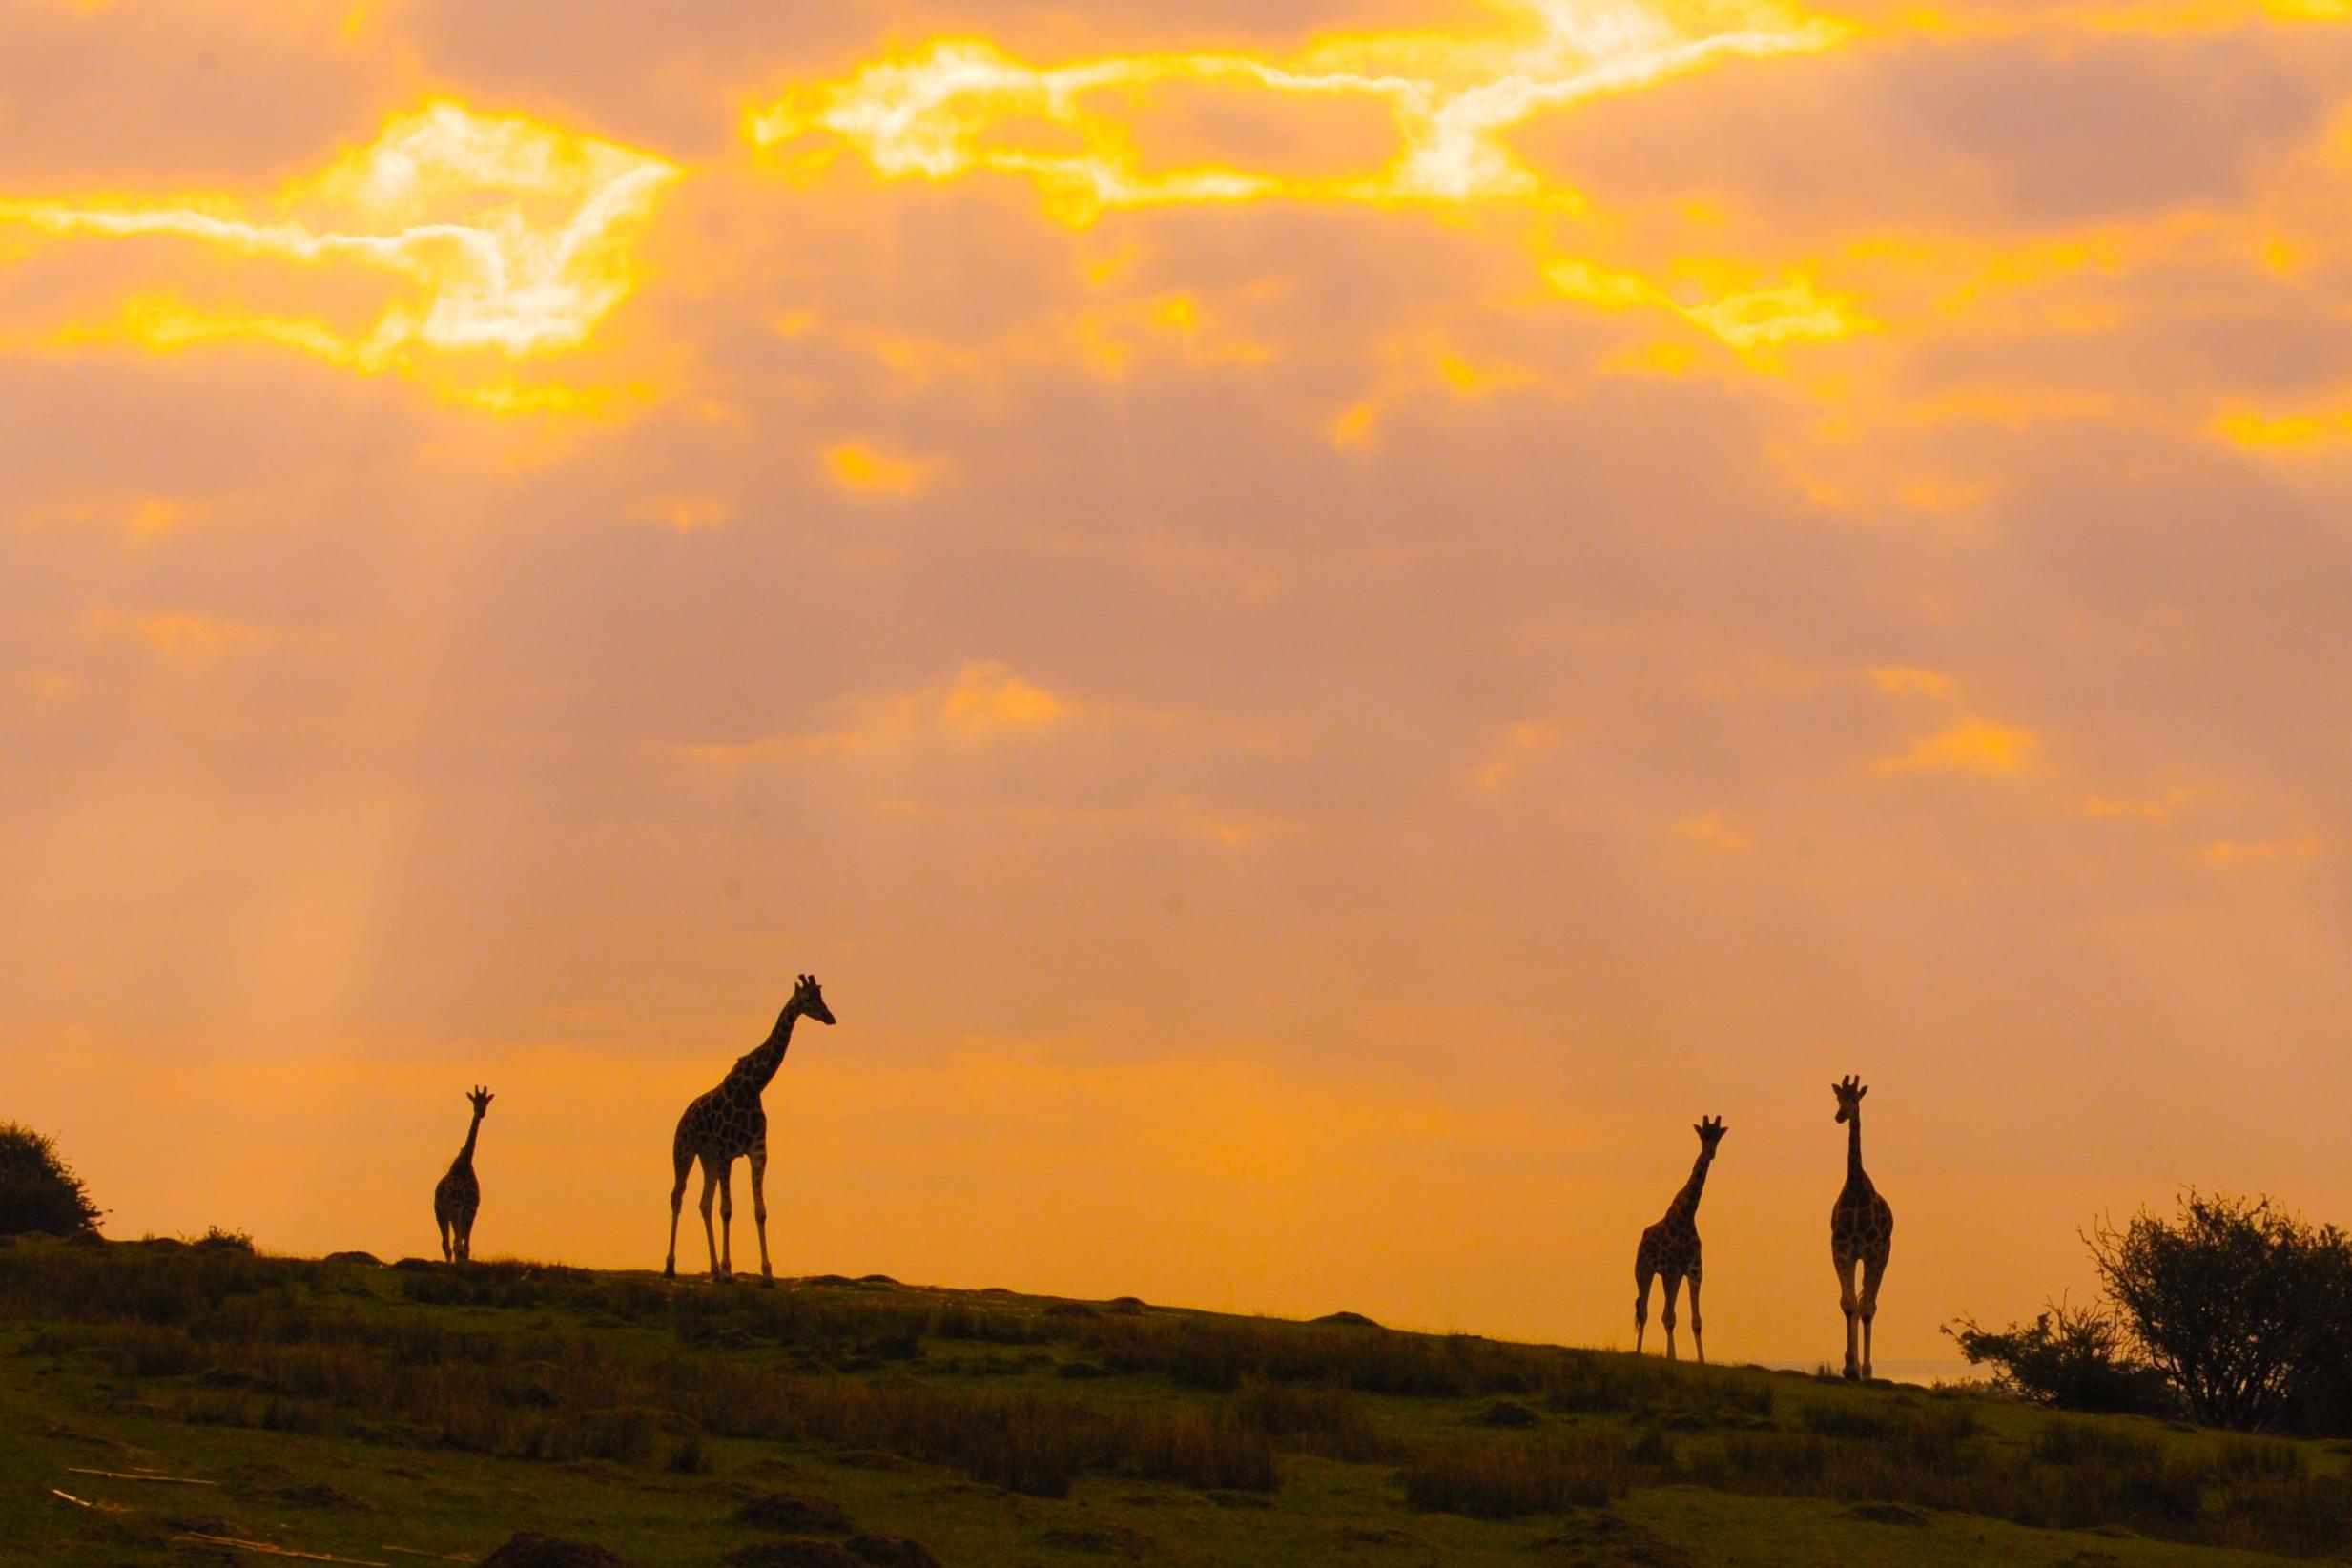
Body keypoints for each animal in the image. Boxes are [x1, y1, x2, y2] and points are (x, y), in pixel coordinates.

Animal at [440, 1090, 498, 1260]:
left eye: (486, 1102)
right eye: (474, 1101)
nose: (481, 1113)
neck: (465, 1163)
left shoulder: (471, 1209)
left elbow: (465, 1249)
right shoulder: (456, 1207)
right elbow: (458, 1245)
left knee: (453, 1243)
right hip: (441, 1212)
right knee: (447, 1244)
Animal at [663, 982, 836, 1288]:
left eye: (821, 997)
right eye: (807, 999)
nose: (830, 1017)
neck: (754, 1086)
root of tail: (684, 1116)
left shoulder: (757, 1152)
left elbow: (760, 1211)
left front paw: (766, 1273)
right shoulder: (726, 1153)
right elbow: (727, 1209)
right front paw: (729, 1270)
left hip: (707, 1158)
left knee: (704, 1203)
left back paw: (712, 1268)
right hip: (684, 1150)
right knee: (677, 1196)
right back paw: (671, 1266)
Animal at [1637, 1114, 1730, 1363]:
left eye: (1718, 1136)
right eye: (1702, 1135)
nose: (1710, 1152)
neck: (1687, 1216)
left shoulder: (1693, 1269)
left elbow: (1696, 1321)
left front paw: (1701, 1360)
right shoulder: (1670, 1269)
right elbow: (1669, 1318)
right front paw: (1672, 1358)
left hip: (1674, 1276)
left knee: (1658, 1312)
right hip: (1644, 1271)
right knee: (1644, 1311)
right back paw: (1638, 1352)